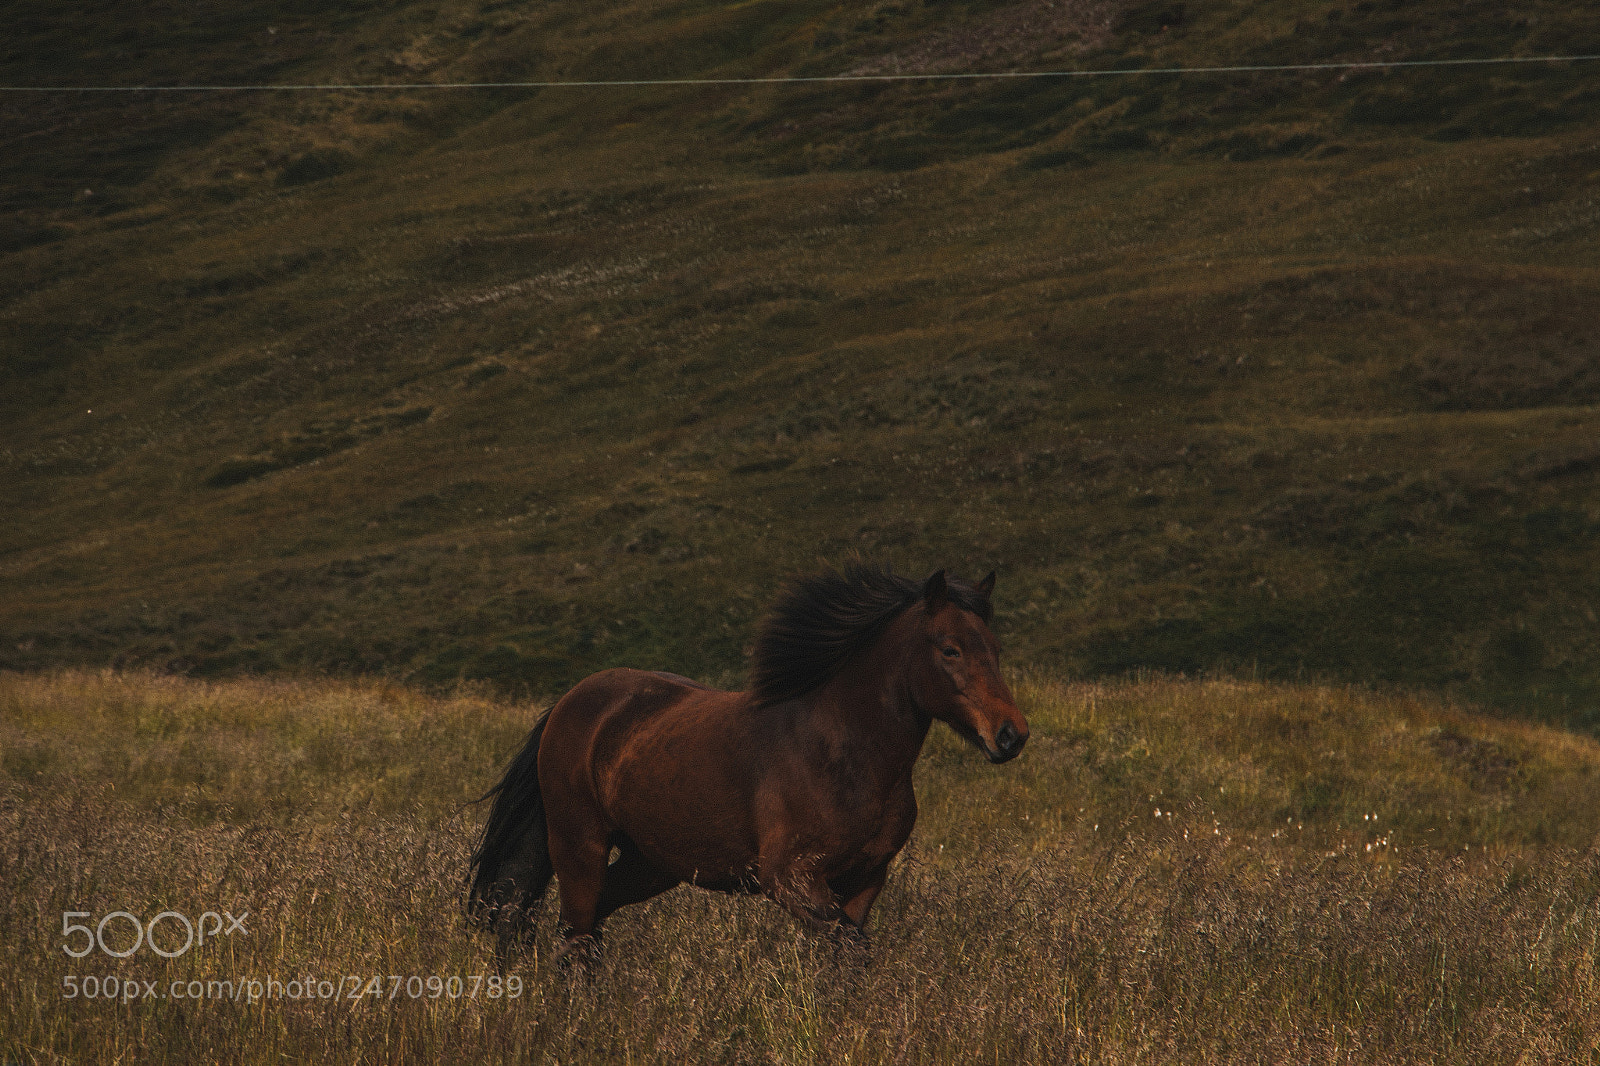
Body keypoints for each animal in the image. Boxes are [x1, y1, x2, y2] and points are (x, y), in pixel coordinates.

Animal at [467, 563, 1029, 965]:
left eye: (996, 648)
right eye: (950, 650)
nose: (1011, 735)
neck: (843, 753)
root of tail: (571, 702)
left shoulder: (865, 880)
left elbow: (846, 957)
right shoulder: (788, 877)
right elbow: (852, 950)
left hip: (651, 863)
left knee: (589, 927)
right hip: (578, 844)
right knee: (574, 936)